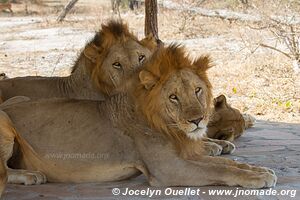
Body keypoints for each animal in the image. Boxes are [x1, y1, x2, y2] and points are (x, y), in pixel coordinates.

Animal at [0, 43, 276, 197]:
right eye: (173, 97)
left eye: (197, 90)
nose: (197, 120)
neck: (169, 126)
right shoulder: (168, 169)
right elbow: (219, 170)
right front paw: (257, 178)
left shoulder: (185, 155)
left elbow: (226, 164)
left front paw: (257, 170)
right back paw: (31, 175)